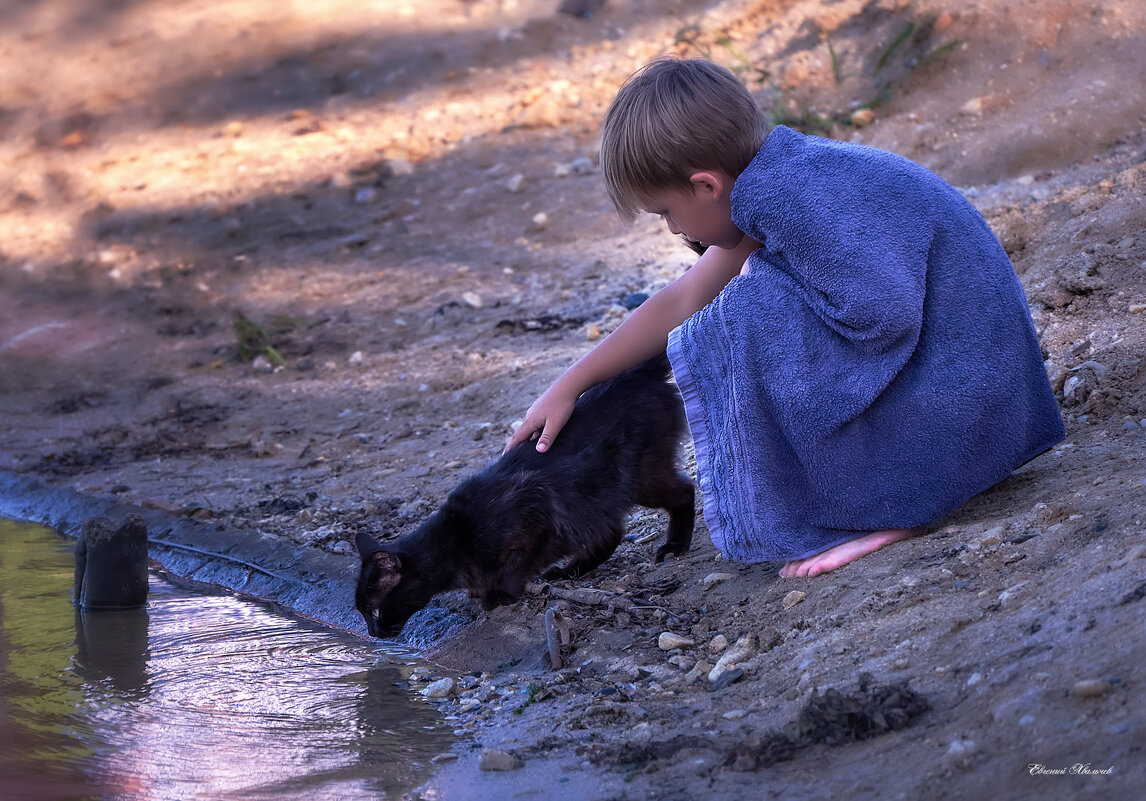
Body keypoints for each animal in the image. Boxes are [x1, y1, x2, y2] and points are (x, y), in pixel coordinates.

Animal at [352, 355, 692, 637]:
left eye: (375, 611)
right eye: (363, 613)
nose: (372, 633)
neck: (454, 540)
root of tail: (636, 372)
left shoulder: (533, 512)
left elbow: (516, 565)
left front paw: (499, 594)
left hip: (640, 477)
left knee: (684, 492)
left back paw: (675, 546)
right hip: (599, 494)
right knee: (611, 531)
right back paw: (570, 570)